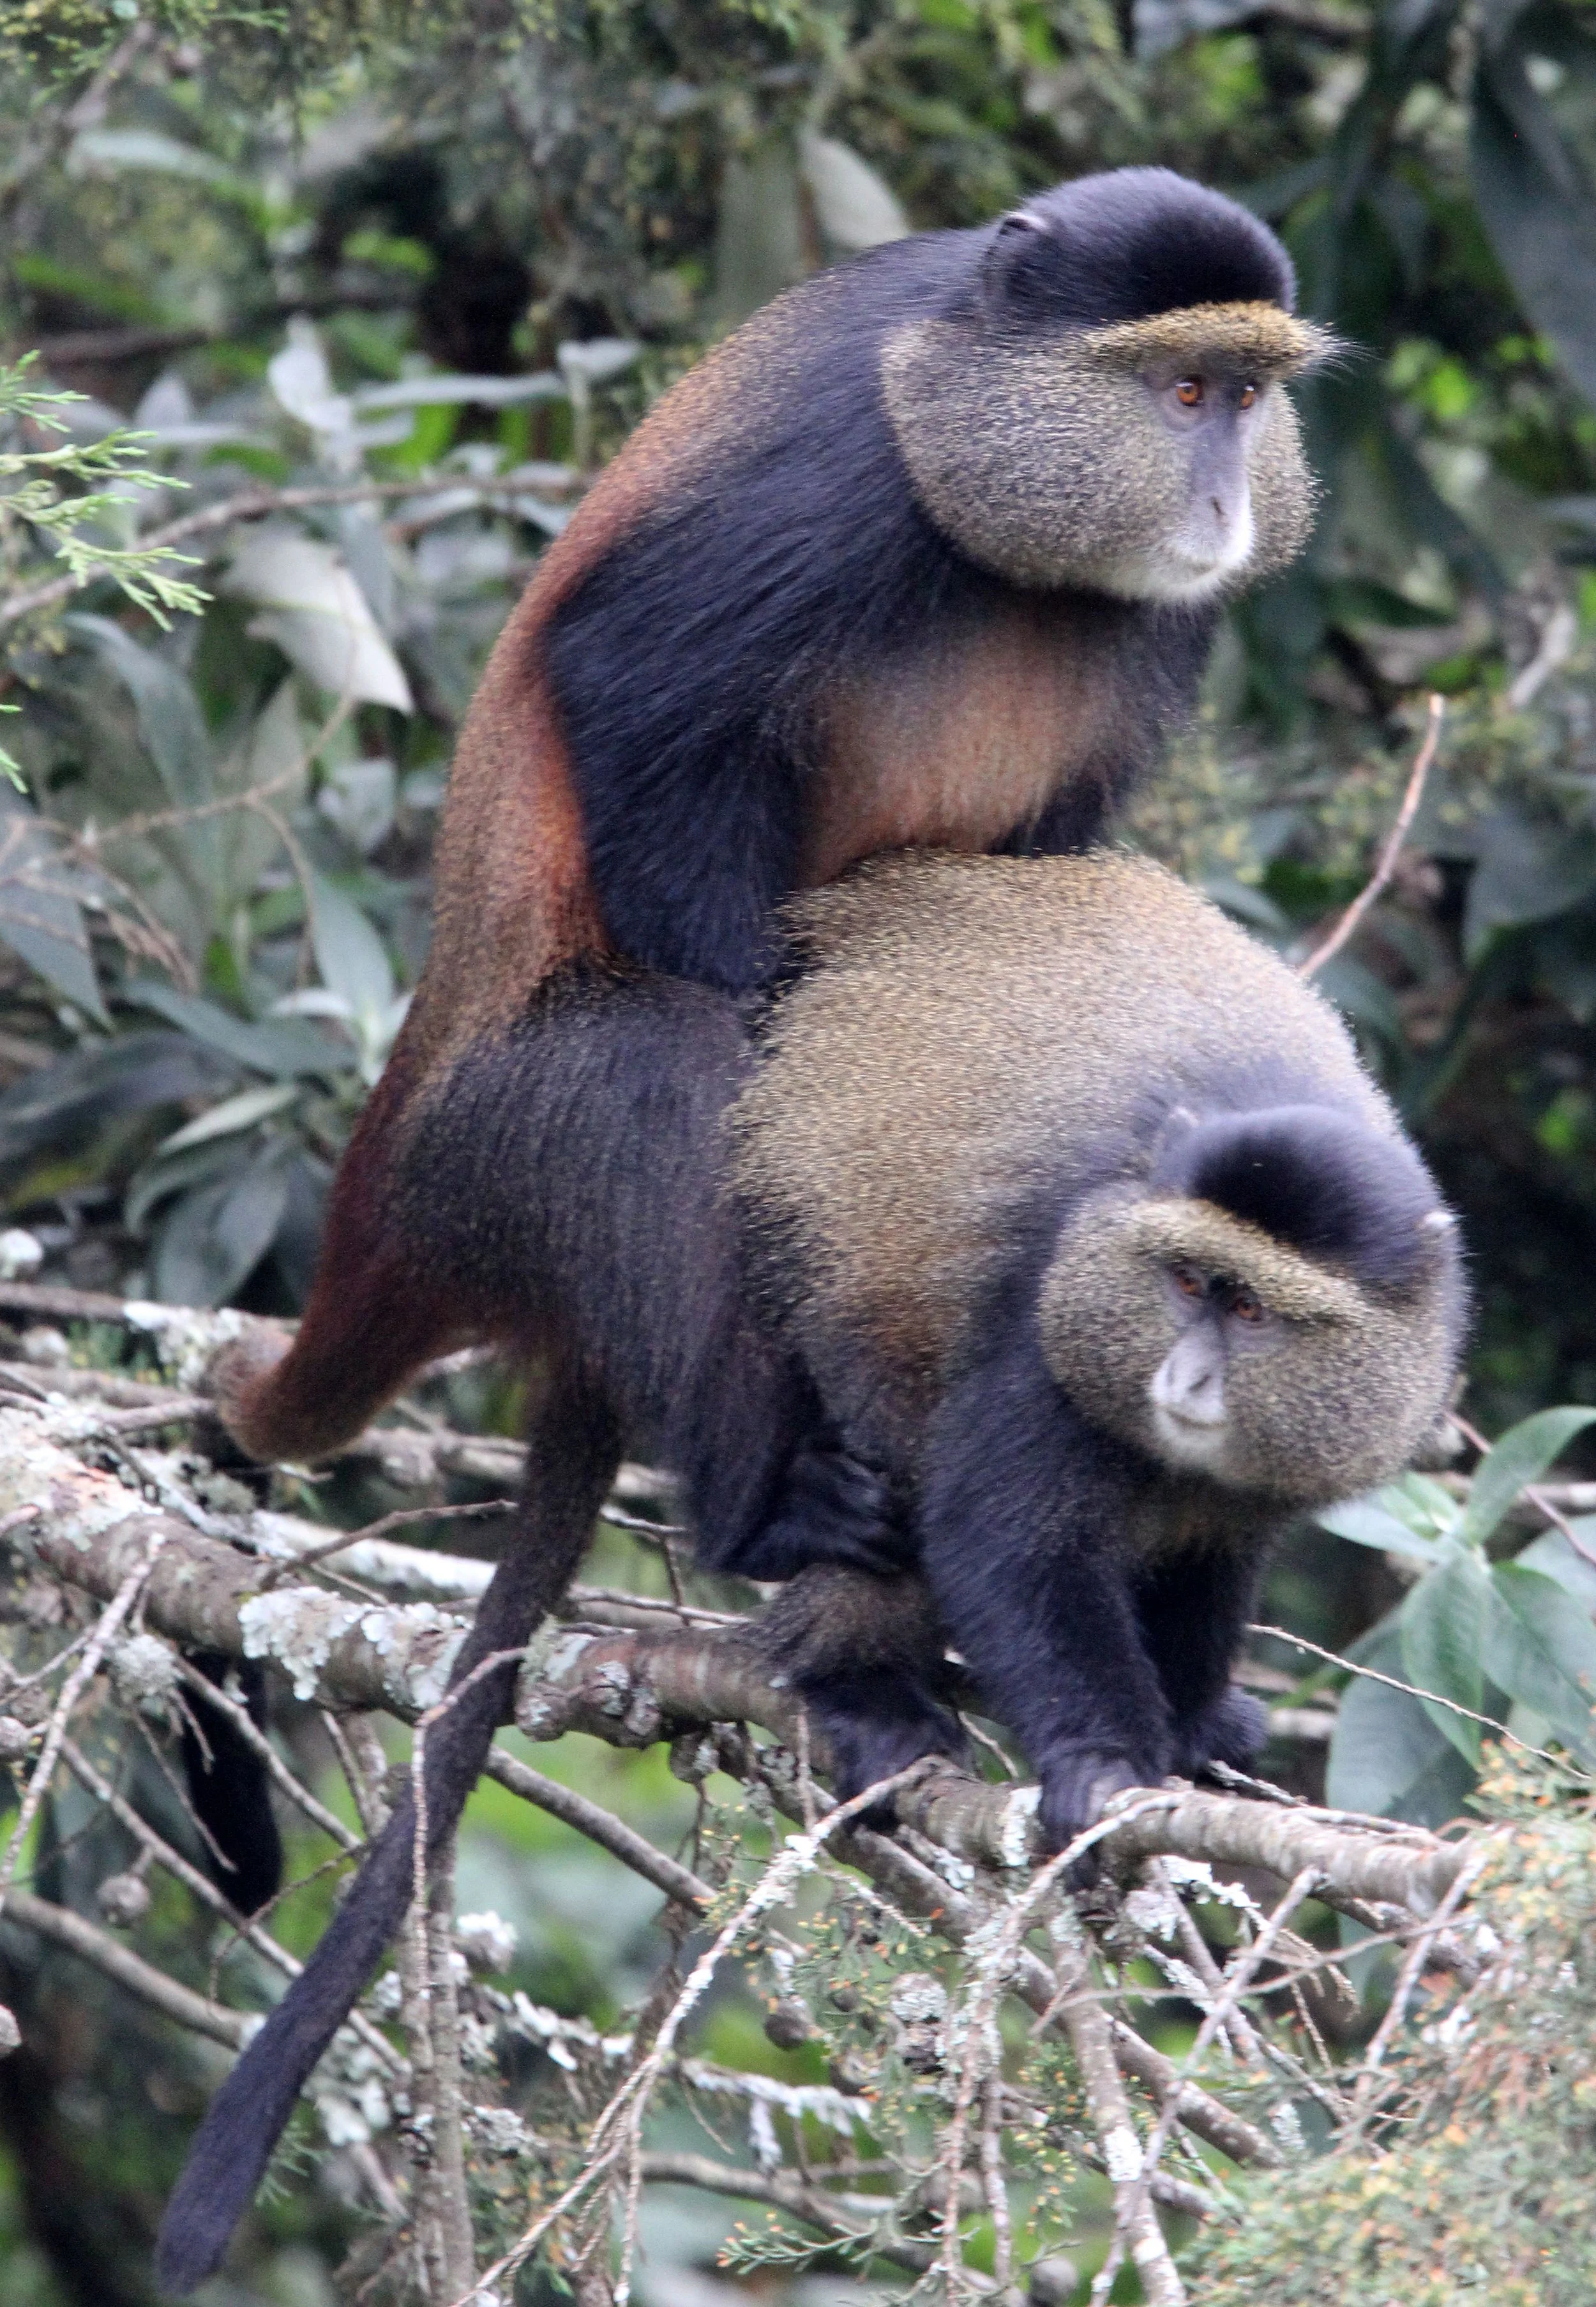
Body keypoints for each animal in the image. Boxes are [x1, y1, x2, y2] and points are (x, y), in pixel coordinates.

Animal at [157, 849, 1462, 2292]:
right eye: (1183, 1281)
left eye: (1245, 1307)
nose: (1182, 1379)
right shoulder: (1043, 1319)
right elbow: (1003, 1535)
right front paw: (1103, 1768)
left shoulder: (1266, 1468)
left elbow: (1214, 1562)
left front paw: (1184, 1729)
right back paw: (855, 1679)